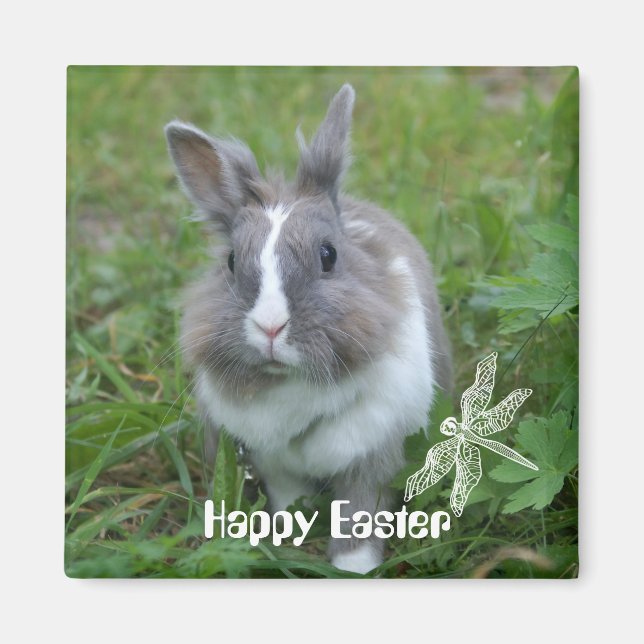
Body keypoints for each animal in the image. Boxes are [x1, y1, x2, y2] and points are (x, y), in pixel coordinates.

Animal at [164, 84, 452, 574]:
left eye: (328, 255)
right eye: (231, 262)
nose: (271, 327)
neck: (294, 387)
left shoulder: (373, 458)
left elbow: (359, 517)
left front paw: (354, 570)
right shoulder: (273, 464)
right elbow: (290, 499)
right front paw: (290, 531)